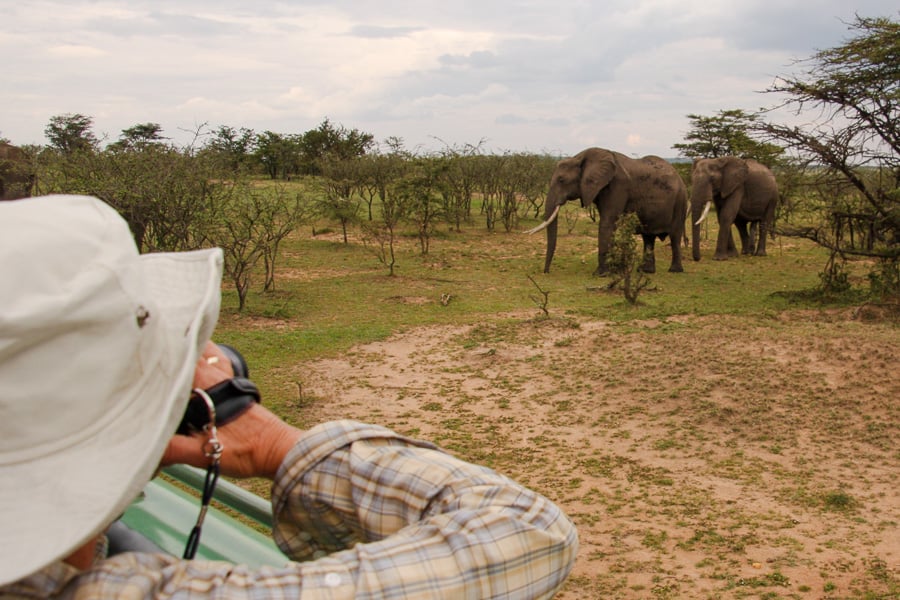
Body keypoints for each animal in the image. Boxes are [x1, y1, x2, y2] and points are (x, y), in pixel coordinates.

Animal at [524, 148, 684, 274]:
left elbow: (607, 222)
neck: (580, 157)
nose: (546, 272)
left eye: (562, 180)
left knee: (675, 235)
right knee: (648, 237)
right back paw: (645, 271)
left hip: (680, 200)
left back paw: (674, 271)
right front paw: (613, 271)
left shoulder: (618, 186)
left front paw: (601, 274)